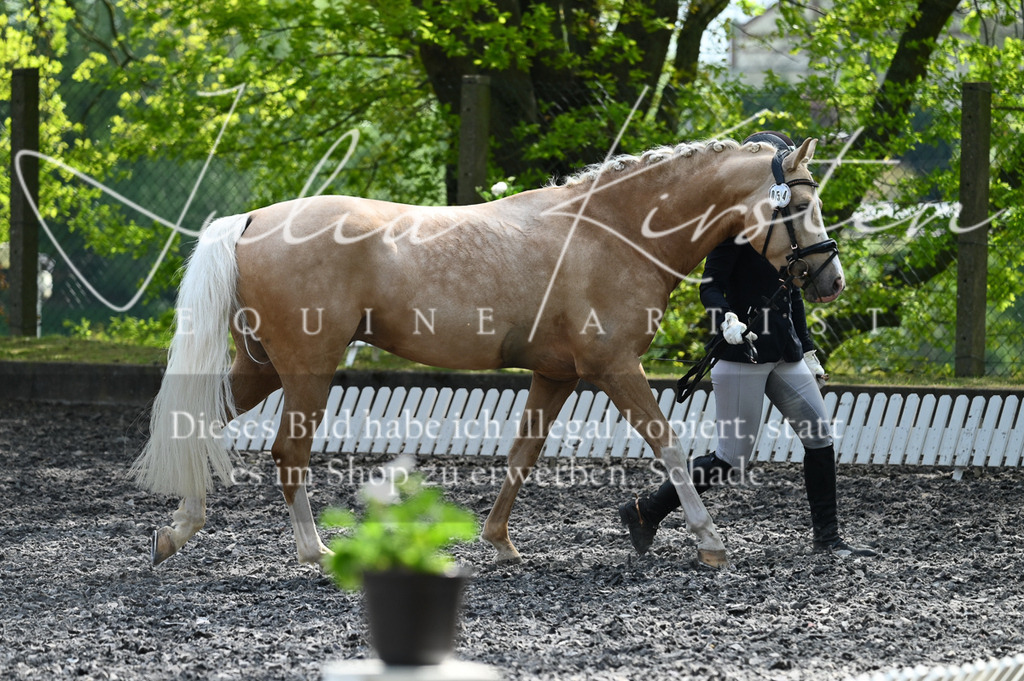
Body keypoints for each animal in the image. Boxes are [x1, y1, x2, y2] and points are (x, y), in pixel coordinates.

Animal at [131, 135, 844, 571]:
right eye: (801, 204)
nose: (830, 280)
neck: (611, 232)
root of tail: (252, 220)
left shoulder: (556, 376)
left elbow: (522, 456)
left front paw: (499, 543)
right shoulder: (616, 369)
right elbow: (669, 447)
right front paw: (711, 543)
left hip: (259, 366)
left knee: (198, 427)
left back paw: (176, 531)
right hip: (307, 369)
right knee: (288, 454)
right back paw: (313, 552)